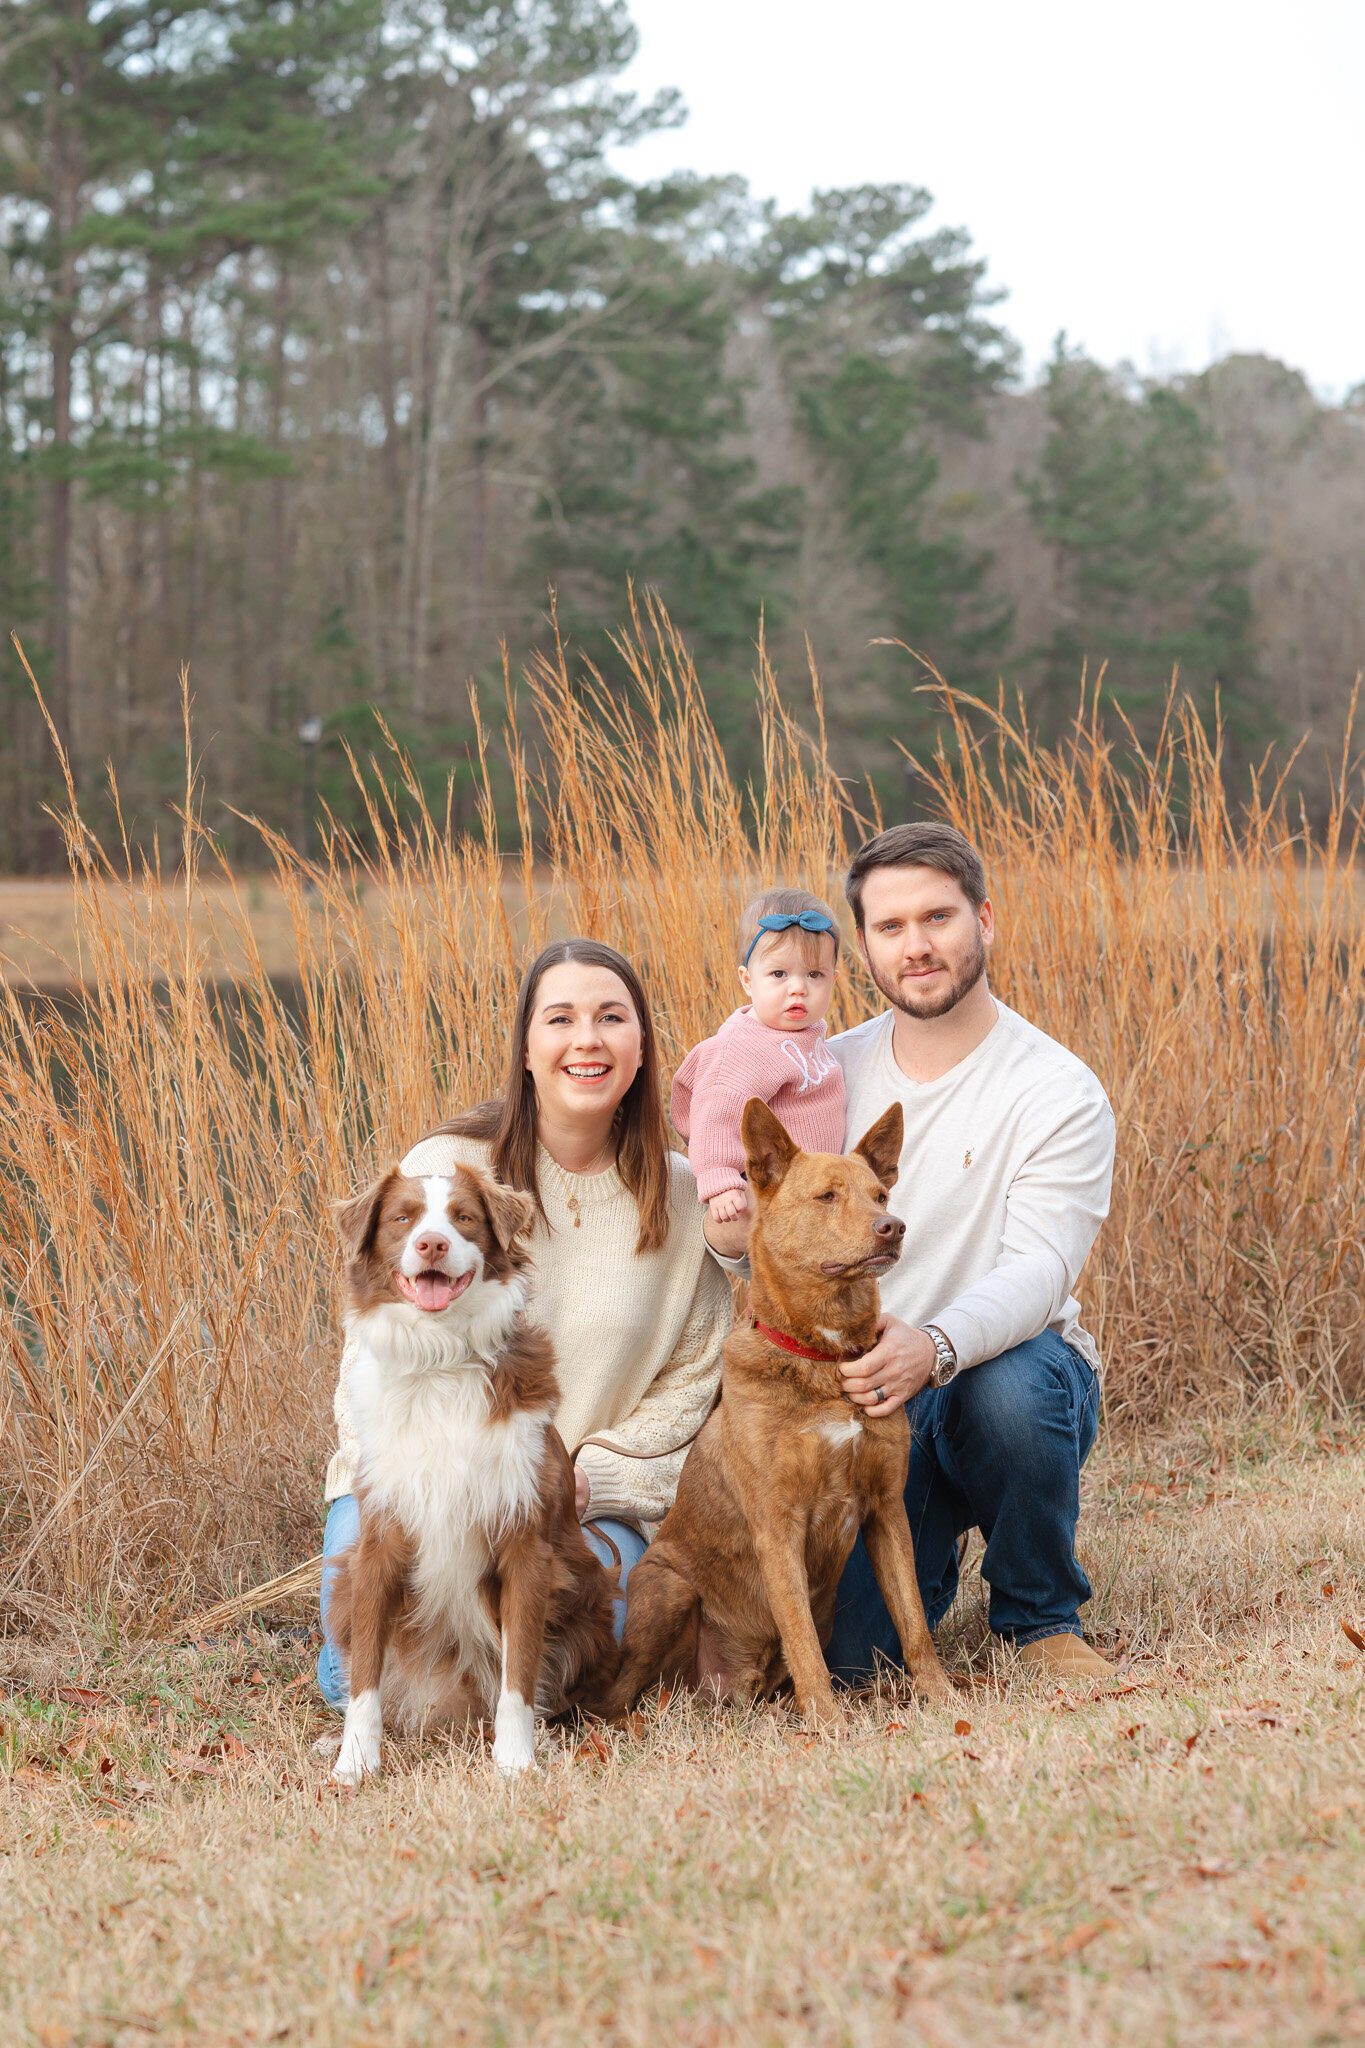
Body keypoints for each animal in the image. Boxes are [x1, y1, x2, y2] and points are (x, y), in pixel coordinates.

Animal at [327, 1163, 618, 1785]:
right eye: (403, 1218)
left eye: (463, 1217)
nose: (432, 1244)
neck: (439, 1359)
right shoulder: (380, 1541)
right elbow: (365, 1674)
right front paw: (355, 1760)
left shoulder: (526, 1544)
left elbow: (519, 1675)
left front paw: (515, 1762)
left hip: (587, 1599)